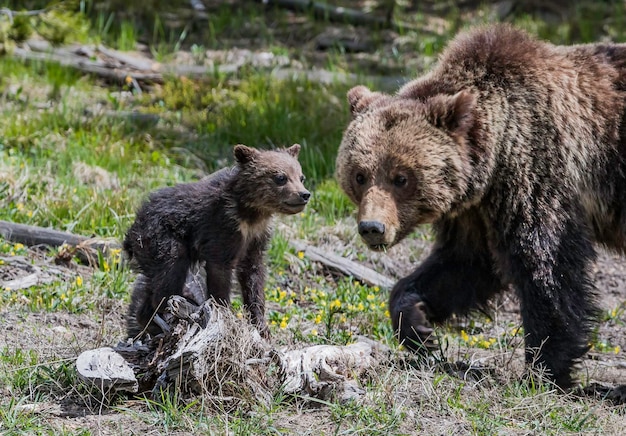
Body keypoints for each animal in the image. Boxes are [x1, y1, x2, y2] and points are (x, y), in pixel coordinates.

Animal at [123, 145, 308, 338]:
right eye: (281, 177)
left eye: (301, 177)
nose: (304, 194)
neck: (250, 213)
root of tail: (132, 230)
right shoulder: (221, 228)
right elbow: (220, 271)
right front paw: (224, 313)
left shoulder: (256, 237)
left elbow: (253, 275)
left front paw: (261, 325)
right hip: (161, 240)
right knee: (170, 272)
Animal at [336, 23, 626, 386]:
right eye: (360, 175)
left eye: (401, 178)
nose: (372, 228)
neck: (493, 157)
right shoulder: (474, 210)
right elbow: (465, 264)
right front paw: (418, 326)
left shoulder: (537, 171)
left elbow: (547, 264)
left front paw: (545, 368)